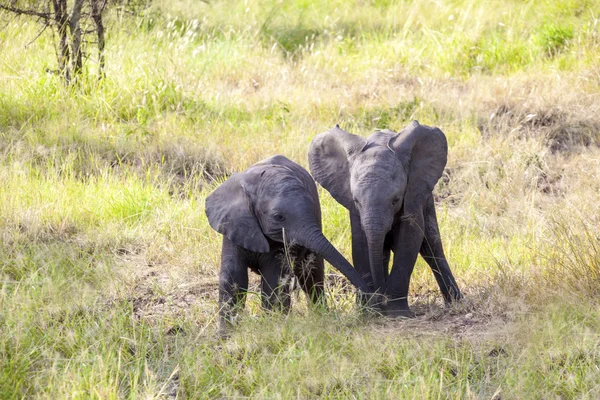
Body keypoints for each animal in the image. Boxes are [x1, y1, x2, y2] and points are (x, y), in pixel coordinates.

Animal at [205, 155, 370, 332]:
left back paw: (321, 315)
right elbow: (233, 276)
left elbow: (273, 279)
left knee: (311, 275)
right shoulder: (234, 225)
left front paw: (273, 326)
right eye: (279, 217)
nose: (373, 295)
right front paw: (227, 334)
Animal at [308, 120, 462, 318]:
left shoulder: (412, 194)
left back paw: (455, 302)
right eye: (356, 201)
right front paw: (368, 311)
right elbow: (360, 242)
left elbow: (409, 240)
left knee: (431, 246)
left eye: (396, 200)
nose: (381, 300)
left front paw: (397, 313)